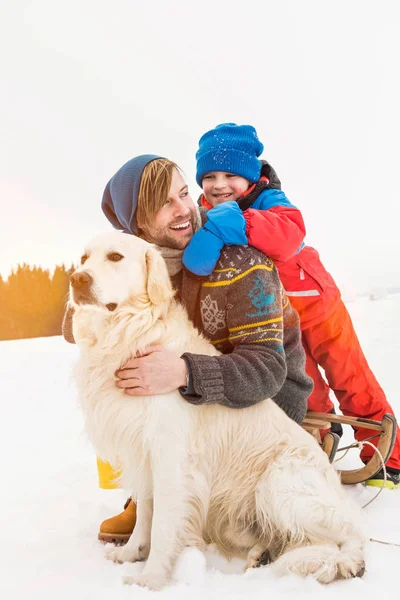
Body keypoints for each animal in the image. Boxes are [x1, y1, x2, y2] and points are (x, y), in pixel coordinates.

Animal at [69, 231, 366, 592]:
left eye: (115, 257)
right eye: (83, 259)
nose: (77, 279)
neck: (127, 332)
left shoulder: (170, 457)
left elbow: (163, 524)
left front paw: (151, 579)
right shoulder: (142, 453)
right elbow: (144, 514)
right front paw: (131, 553)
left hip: (278, 482)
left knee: (349, 534)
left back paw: (341, 563)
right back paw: (263, 555)